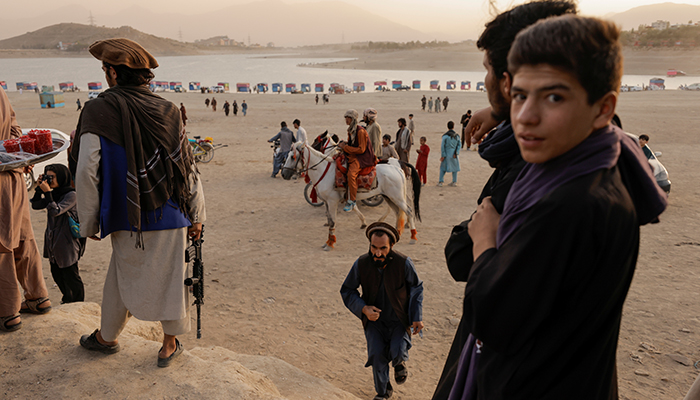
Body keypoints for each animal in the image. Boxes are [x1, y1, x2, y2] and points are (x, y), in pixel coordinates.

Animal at [280, 141, 422, 250]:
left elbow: (333, 221)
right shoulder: (327, 202)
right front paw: (328, 242)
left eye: (292, 157)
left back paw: (413, 238)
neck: (324, 171)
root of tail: (397, 168)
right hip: (389, 197)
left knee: (409, 211)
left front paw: (330, 244)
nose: (284, 174)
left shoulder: (332, 202)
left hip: (397, 197)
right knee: (398, 213)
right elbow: (331, 220)